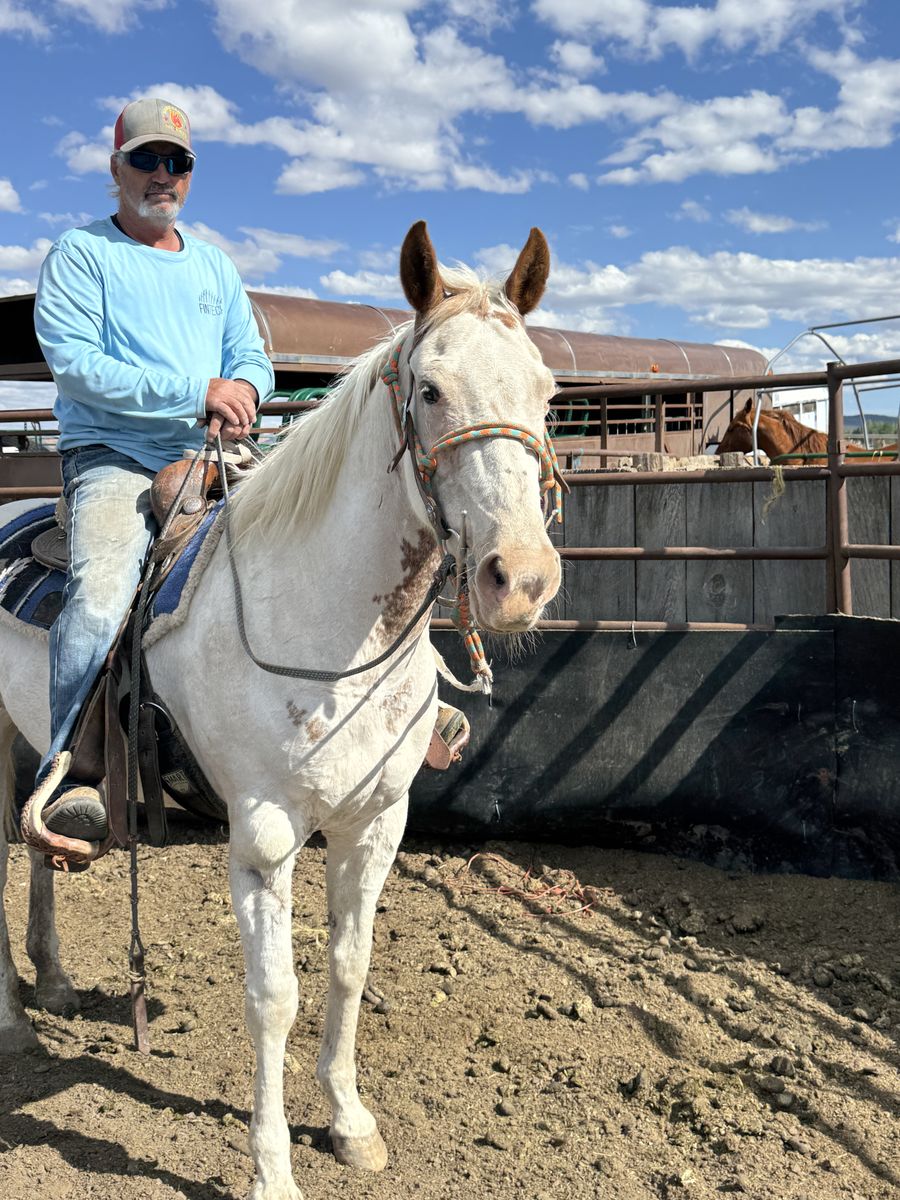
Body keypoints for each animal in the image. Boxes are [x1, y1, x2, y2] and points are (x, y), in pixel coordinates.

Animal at [0, 221, 562, 1200]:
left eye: (548, 393)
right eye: (430, 388)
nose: (521, 580)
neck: (322, 618)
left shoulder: (376, 820)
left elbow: (347, 965)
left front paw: (348, 1122)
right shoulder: (263, 836)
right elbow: (274, 998)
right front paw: (270, 1168)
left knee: (34, 849)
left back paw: (57, 984)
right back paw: (12, 1023)